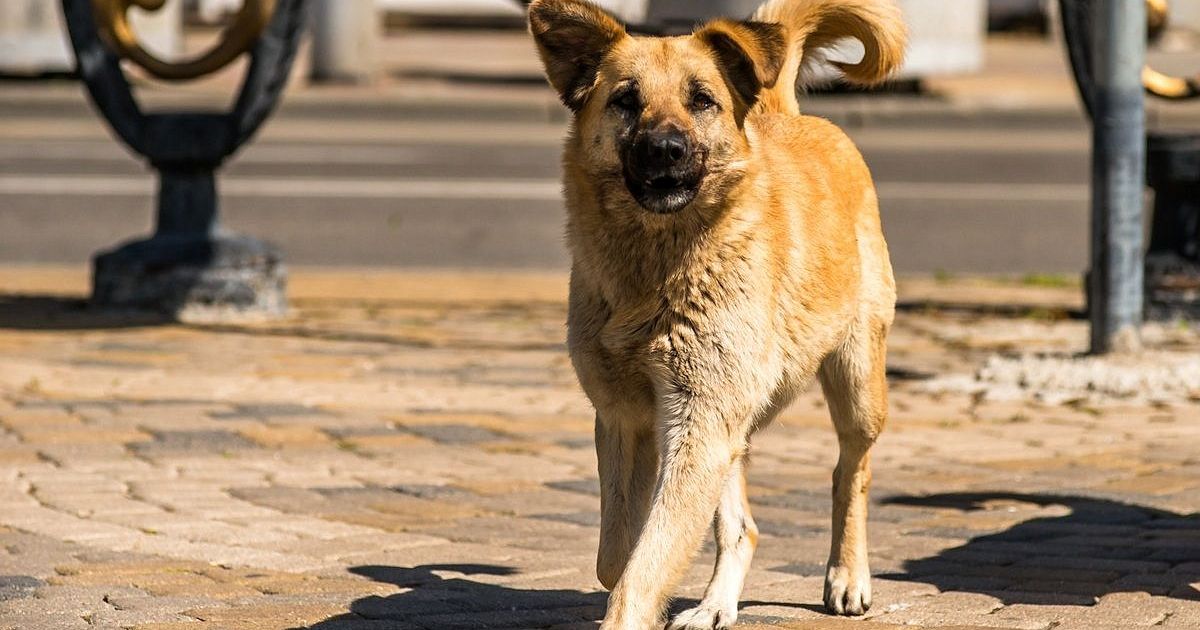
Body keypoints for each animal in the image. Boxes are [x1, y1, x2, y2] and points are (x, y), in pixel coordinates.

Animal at [527, 0, 907, 626]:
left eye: (702, 99)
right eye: (625, 100)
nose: (665, 149)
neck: (656, 270)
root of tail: (787, 114)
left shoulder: (699, 420)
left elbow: (640, 567)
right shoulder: (630, 418)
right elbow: (618, 556)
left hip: (856, 386)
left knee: (852, 471)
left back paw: (848, 575)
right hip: (731, 415)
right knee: (744, 527)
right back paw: (715, 604)